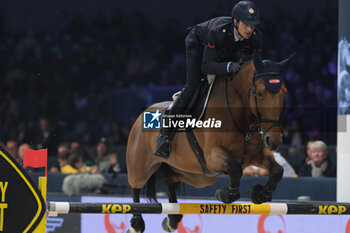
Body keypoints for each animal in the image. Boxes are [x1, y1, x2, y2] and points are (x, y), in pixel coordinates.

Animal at [125, 51, 292, 233]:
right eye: (260, 93)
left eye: (284, 92)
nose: (274, 140)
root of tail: (143, 113)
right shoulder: (212, 156)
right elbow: (235, 169)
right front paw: (226, 194)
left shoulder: (256, 155)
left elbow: (277, 171)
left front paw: (260, 194)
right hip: (141, 167)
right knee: (135, 185)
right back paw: (137, 224)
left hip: (196, 176)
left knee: (170, 179)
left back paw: (172, 220)